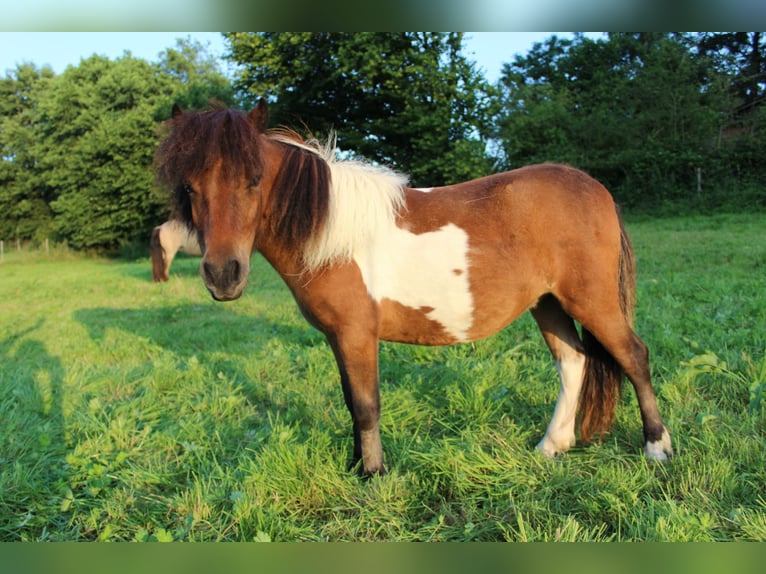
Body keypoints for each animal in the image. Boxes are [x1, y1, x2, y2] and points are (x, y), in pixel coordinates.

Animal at [154, 101, 673, 476]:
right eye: (190, 187)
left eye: (254, 179)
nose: (223, 274)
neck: (332, 234)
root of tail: (593, 186)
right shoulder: (339, 338)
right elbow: (351, 402)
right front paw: (356, 466)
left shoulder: (357, 334)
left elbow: (367, 405)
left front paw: (374, 475)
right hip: (548, 303)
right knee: (573, 362)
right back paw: (552, 446)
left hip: (592, 300)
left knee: (633, 356)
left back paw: (657, 447)